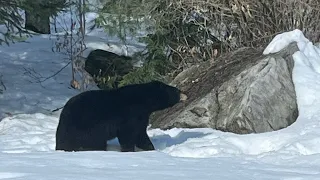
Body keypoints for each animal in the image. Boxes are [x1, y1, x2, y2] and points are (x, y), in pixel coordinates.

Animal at [55, 81, 188, 153]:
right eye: (177, 91)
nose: (185, 95)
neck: (144, 100)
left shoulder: (141, 116)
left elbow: (140, 133)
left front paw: (150, 148)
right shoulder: (130, 114)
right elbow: (128, 134)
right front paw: (129, 150)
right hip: (85, 129)